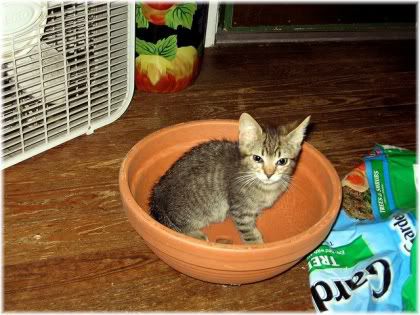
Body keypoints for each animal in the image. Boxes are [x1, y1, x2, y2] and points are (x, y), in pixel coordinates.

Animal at [149, 113, 310, 244]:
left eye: (282, 161)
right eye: (257, 158)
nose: (269, 174)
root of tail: (159, 191)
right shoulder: (240, 210)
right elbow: (248, 232)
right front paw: (257, 245)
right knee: (178, 227)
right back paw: (196, 235)